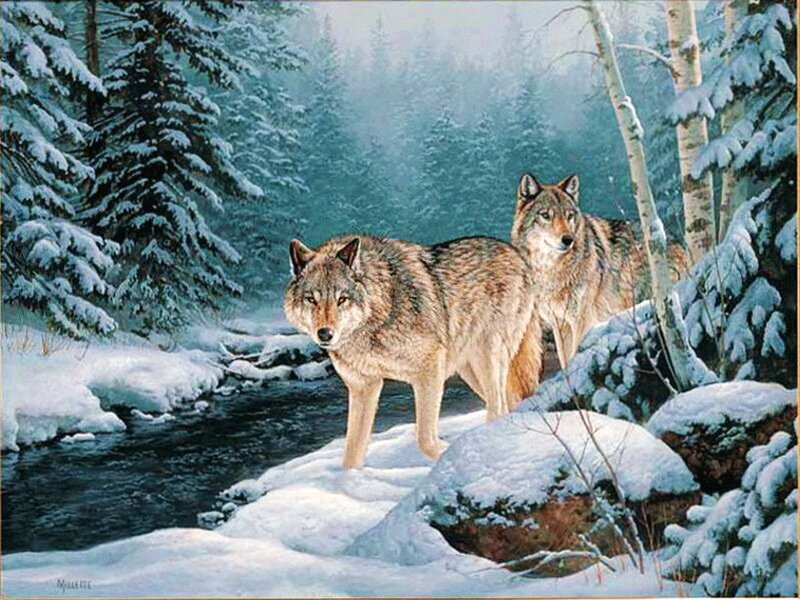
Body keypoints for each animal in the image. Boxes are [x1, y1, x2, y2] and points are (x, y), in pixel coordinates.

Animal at [284, 234, 542, 469]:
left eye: (342, 299)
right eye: (311, 299)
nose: (325, 334)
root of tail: (517, 255)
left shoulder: (429, 369)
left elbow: (424, 439)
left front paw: (446, 452)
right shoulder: (364, 387)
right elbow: (352, 454)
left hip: (486, 358)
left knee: (497, 408)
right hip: (471, 372)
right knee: (508, 404)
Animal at [511, 172, 689, 369]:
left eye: (569, 216)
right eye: (545, 215)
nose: (568, 240)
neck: (552, 272)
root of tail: (677, 243)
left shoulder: (581, 321)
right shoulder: (560, 325)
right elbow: (565, 362)